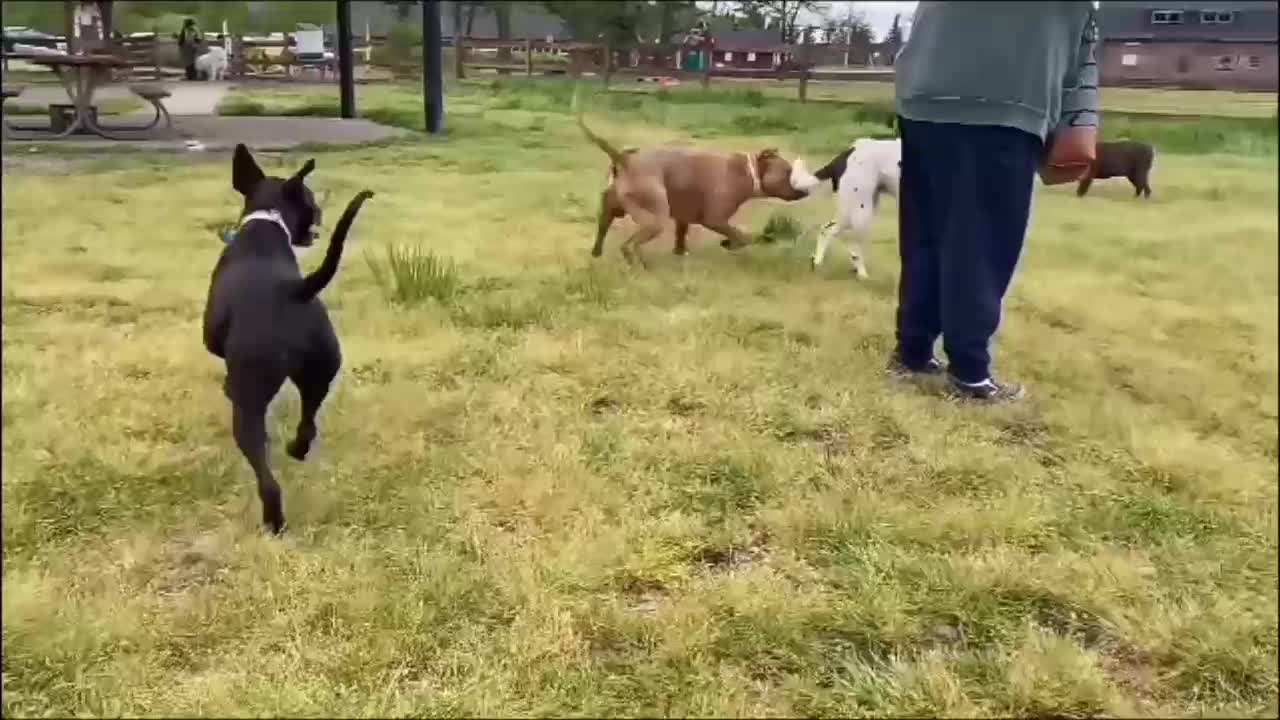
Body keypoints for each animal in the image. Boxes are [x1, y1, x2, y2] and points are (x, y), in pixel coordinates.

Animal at [199, 142, 371, 530]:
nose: (320, 212)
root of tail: (296, 291)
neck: (266, 223)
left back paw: (273, 521)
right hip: (322, 371)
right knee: (308, 422)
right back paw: (297, 449)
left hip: (250, 401)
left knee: (266, 474)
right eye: (310, 199)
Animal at [581, 96, 808, 266]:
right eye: (788, 171)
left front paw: (680, 253)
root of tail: (625, 159)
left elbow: (681, 234)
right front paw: (732, 243)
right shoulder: (715, 218)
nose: (805, 191)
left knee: (603, 229)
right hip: (655, 218)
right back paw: (639, 265)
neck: (747, 171)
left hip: (611, 209)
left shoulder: (684, 215)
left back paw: (597, 254)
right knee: (629, 245)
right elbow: (739, 235)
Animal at [788, 136, 901, 278]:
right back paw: (862, 274)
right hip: (860, 212)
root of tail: (848, 152)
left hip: (856, 210)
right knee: (846, 242)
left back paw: (817, 261)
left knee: (826, 229)